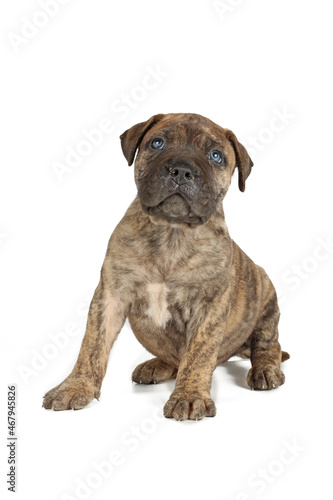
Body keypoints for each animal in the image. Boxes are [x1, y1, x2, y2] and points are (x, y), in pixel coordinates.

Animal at [43, 112, 288, 418]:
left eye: (216, 156)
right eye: (157, 143)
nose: (181, 171)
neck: (173, 233)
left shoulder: (209, 307)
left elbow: (198, 355)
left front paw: (190, 396)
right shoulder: (110, 296)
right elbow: (92, 345)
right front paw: (74, 387)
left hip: (266, 296)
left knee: (268, 344)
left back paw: (265, 369)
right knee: (174, 357)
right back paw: (156, 365)